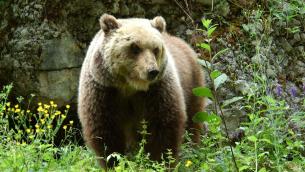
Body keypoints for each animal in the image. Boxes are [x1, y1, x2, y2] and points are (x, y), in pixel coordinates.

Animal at [77, 13, 204, 168]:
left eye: (156, 49)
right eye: (135, 47)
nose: (152, 71)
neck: (129, 86)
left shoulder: (157, 91)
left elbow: (164, 125)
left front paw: (159, 162)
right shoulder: (103, 90)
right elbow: (105, 130)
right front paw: (115, 161)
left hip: (193, 84)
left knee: (193, 120)